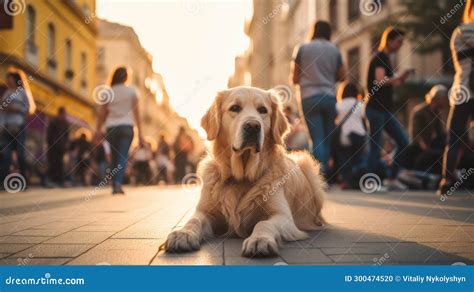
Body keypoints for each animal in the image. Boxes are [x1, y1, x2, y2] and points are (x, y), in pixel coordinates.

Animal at [163, 85, 326, 256]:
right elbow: (193, 220)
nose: (253, 126)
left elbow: (263, 223)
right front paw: (183, 234)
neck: (241, 177)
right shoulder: (205, 211)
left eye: (263, 110)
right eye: (235, 108)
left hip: (308, 165)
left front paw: (260, 239)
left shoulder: (282, 215)